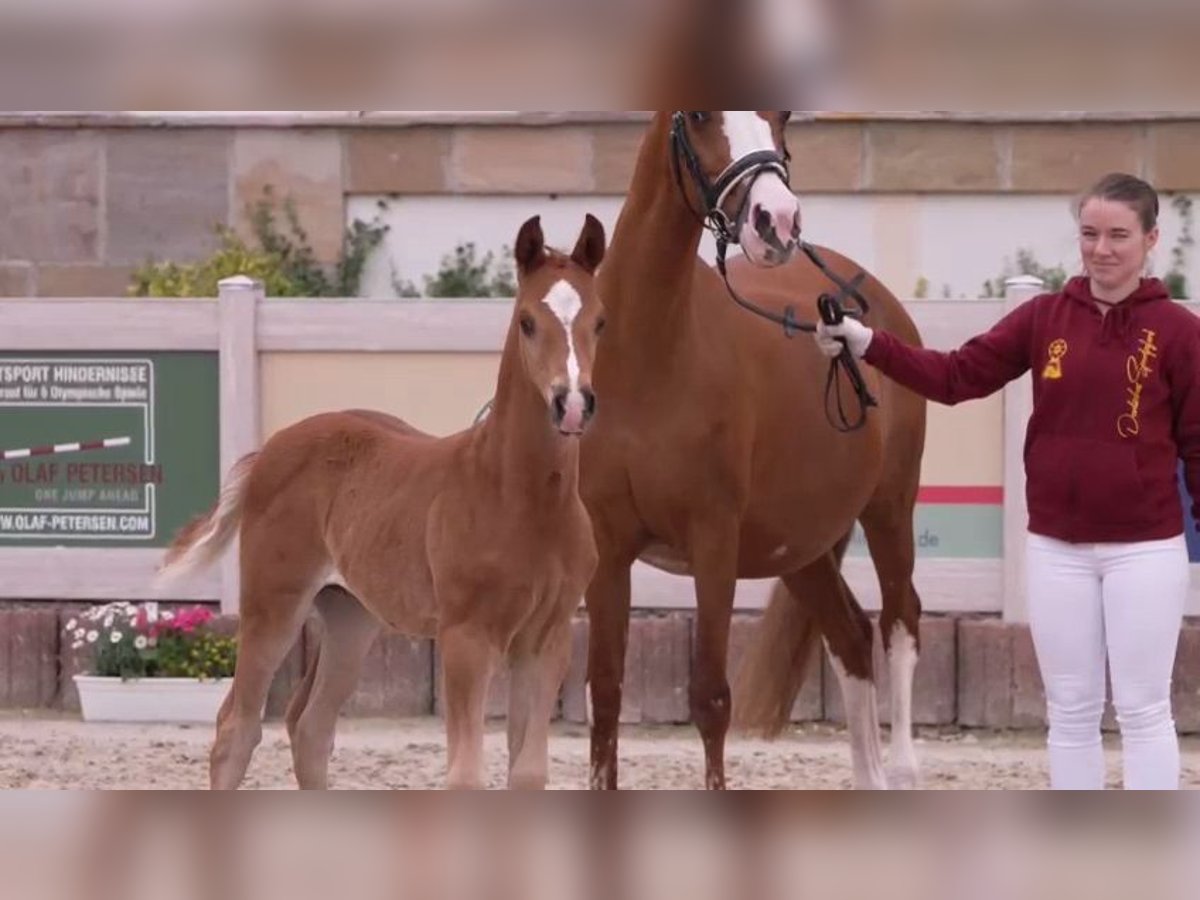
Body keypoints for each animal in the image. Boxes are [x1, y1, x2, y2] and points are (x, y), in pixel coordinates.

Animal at [157, 217, 609, 787]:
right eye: (527, 321)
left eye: (600, 321)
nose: (571, 403)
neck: (523, 498)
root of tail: (270, 450)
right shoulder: (467, 638)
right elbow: (465, 773)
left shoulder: (545, 641)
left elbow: (527, 772)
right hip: (272, 604)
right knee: (236, 729)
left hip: (350, 616)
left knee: (310, 726)